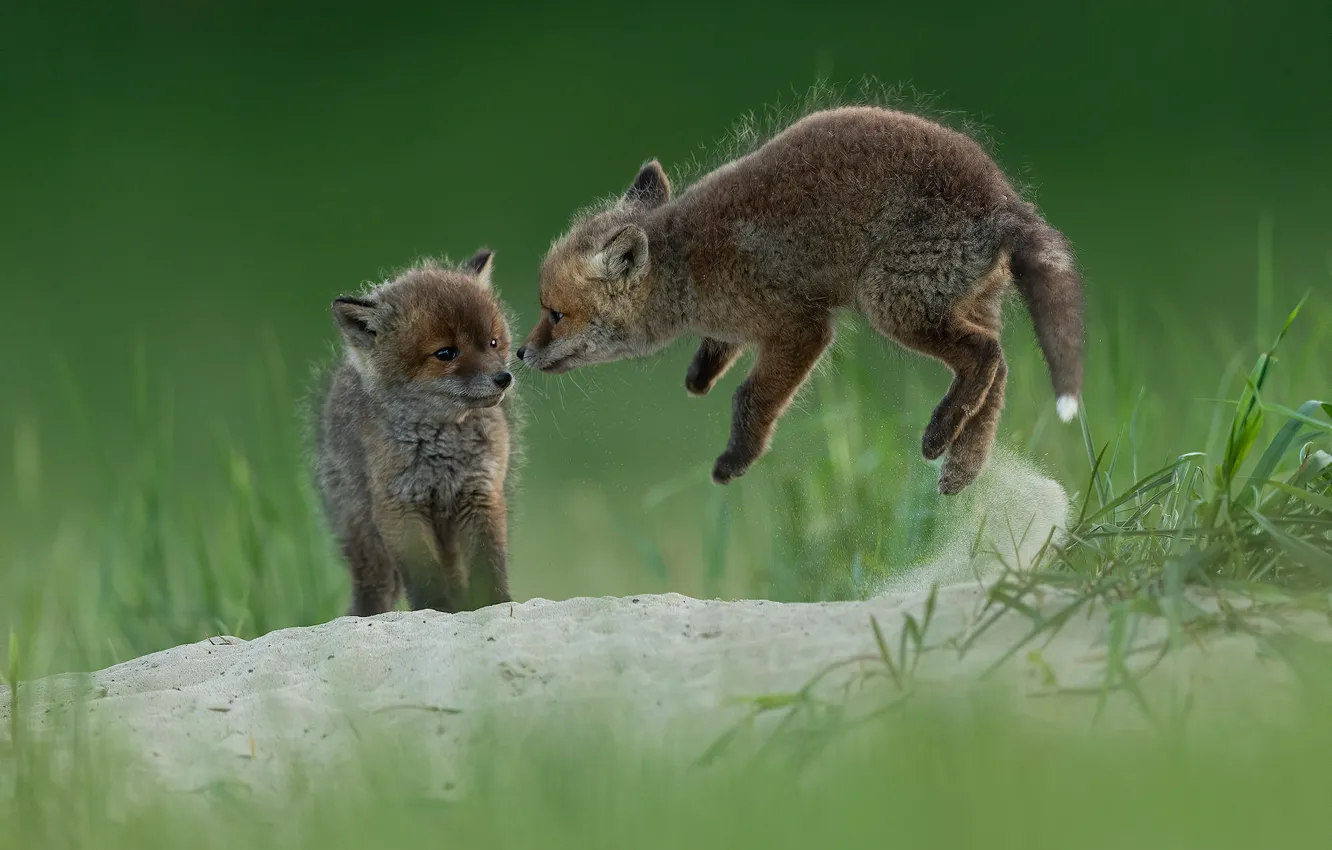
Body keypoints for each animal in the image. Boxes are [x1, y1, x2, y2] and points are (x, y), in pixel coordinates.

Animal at [316, 251, 516, 616]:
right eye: (446, 353)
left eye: (493, 342)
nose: (504, 378)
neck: (442, 448)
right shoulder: (399, 508)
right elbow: (426, 579)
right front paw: (435, 612)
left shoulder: (481, 493)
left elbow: (488, 565)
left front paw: (495, 605)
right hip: (367, 541)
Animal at [517, 105, 1085, 494]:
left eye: (556, 314)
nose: (519, 353)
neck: (687, 266)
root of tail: (1004, 198)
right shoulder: (743, 325)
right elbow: (719, 352)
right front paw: (700, 375)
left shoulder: (801, 328)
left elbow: (750, 399)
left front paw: (735, 461)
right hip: (958, 304)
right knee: (999, 369)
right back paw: (964, 467)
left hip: (891, 304)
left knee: (984, 354)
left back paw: (940, 435)